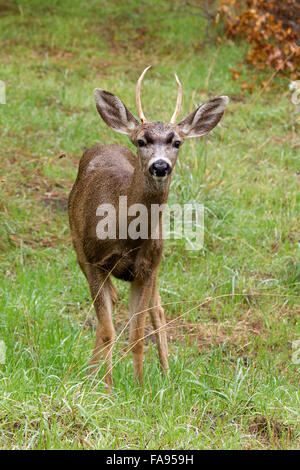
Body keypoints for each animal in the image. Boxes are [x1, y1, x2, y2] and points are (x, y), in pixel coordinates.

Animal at [67, 67, 227, 390]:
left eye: (177, 142)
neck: (124, 236)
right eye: (142, 141)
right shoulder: (93, 261)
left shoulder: (146, 269)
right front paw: (106, 387)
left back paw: (165, 372)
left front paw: (140, 388)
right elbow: (108, 330)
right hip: (79, 249)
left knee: (157, 310)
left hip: (156, 262)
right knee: (110, 311)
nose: (160, 166)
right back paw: (93, 372)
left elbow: (138, 336)